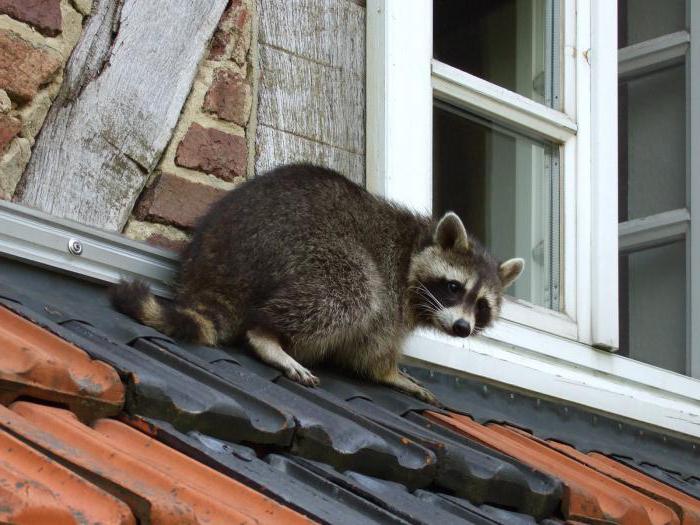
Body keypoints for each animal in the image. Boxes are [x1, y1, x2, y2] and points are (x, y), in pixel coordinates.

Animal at [112, 164, 524, 402]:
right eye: (454, 288)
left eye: (481, 306)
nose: (462, 327)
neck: (417, 245)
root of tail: (219, 266)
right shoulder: (394, 293)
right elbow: (372, 348)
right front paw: (389, 373)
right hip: (305, 247)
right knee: (353, 291)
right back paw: (268, 335)